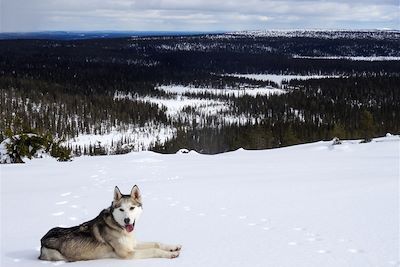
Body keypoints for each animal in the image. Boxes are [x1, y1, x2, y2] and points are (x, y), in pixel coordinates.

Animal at [39, 185, 181, 262]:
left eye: (132, 208)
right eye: (121, 209)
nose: (127, 220)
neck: (118, 226)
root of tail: (42, 239)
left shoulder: (133, 244)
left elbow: (157, 243)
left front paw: (173, 247)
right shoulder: (128, 253)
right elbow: (153, 250)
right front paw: (171, 254)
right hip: (57, 255)